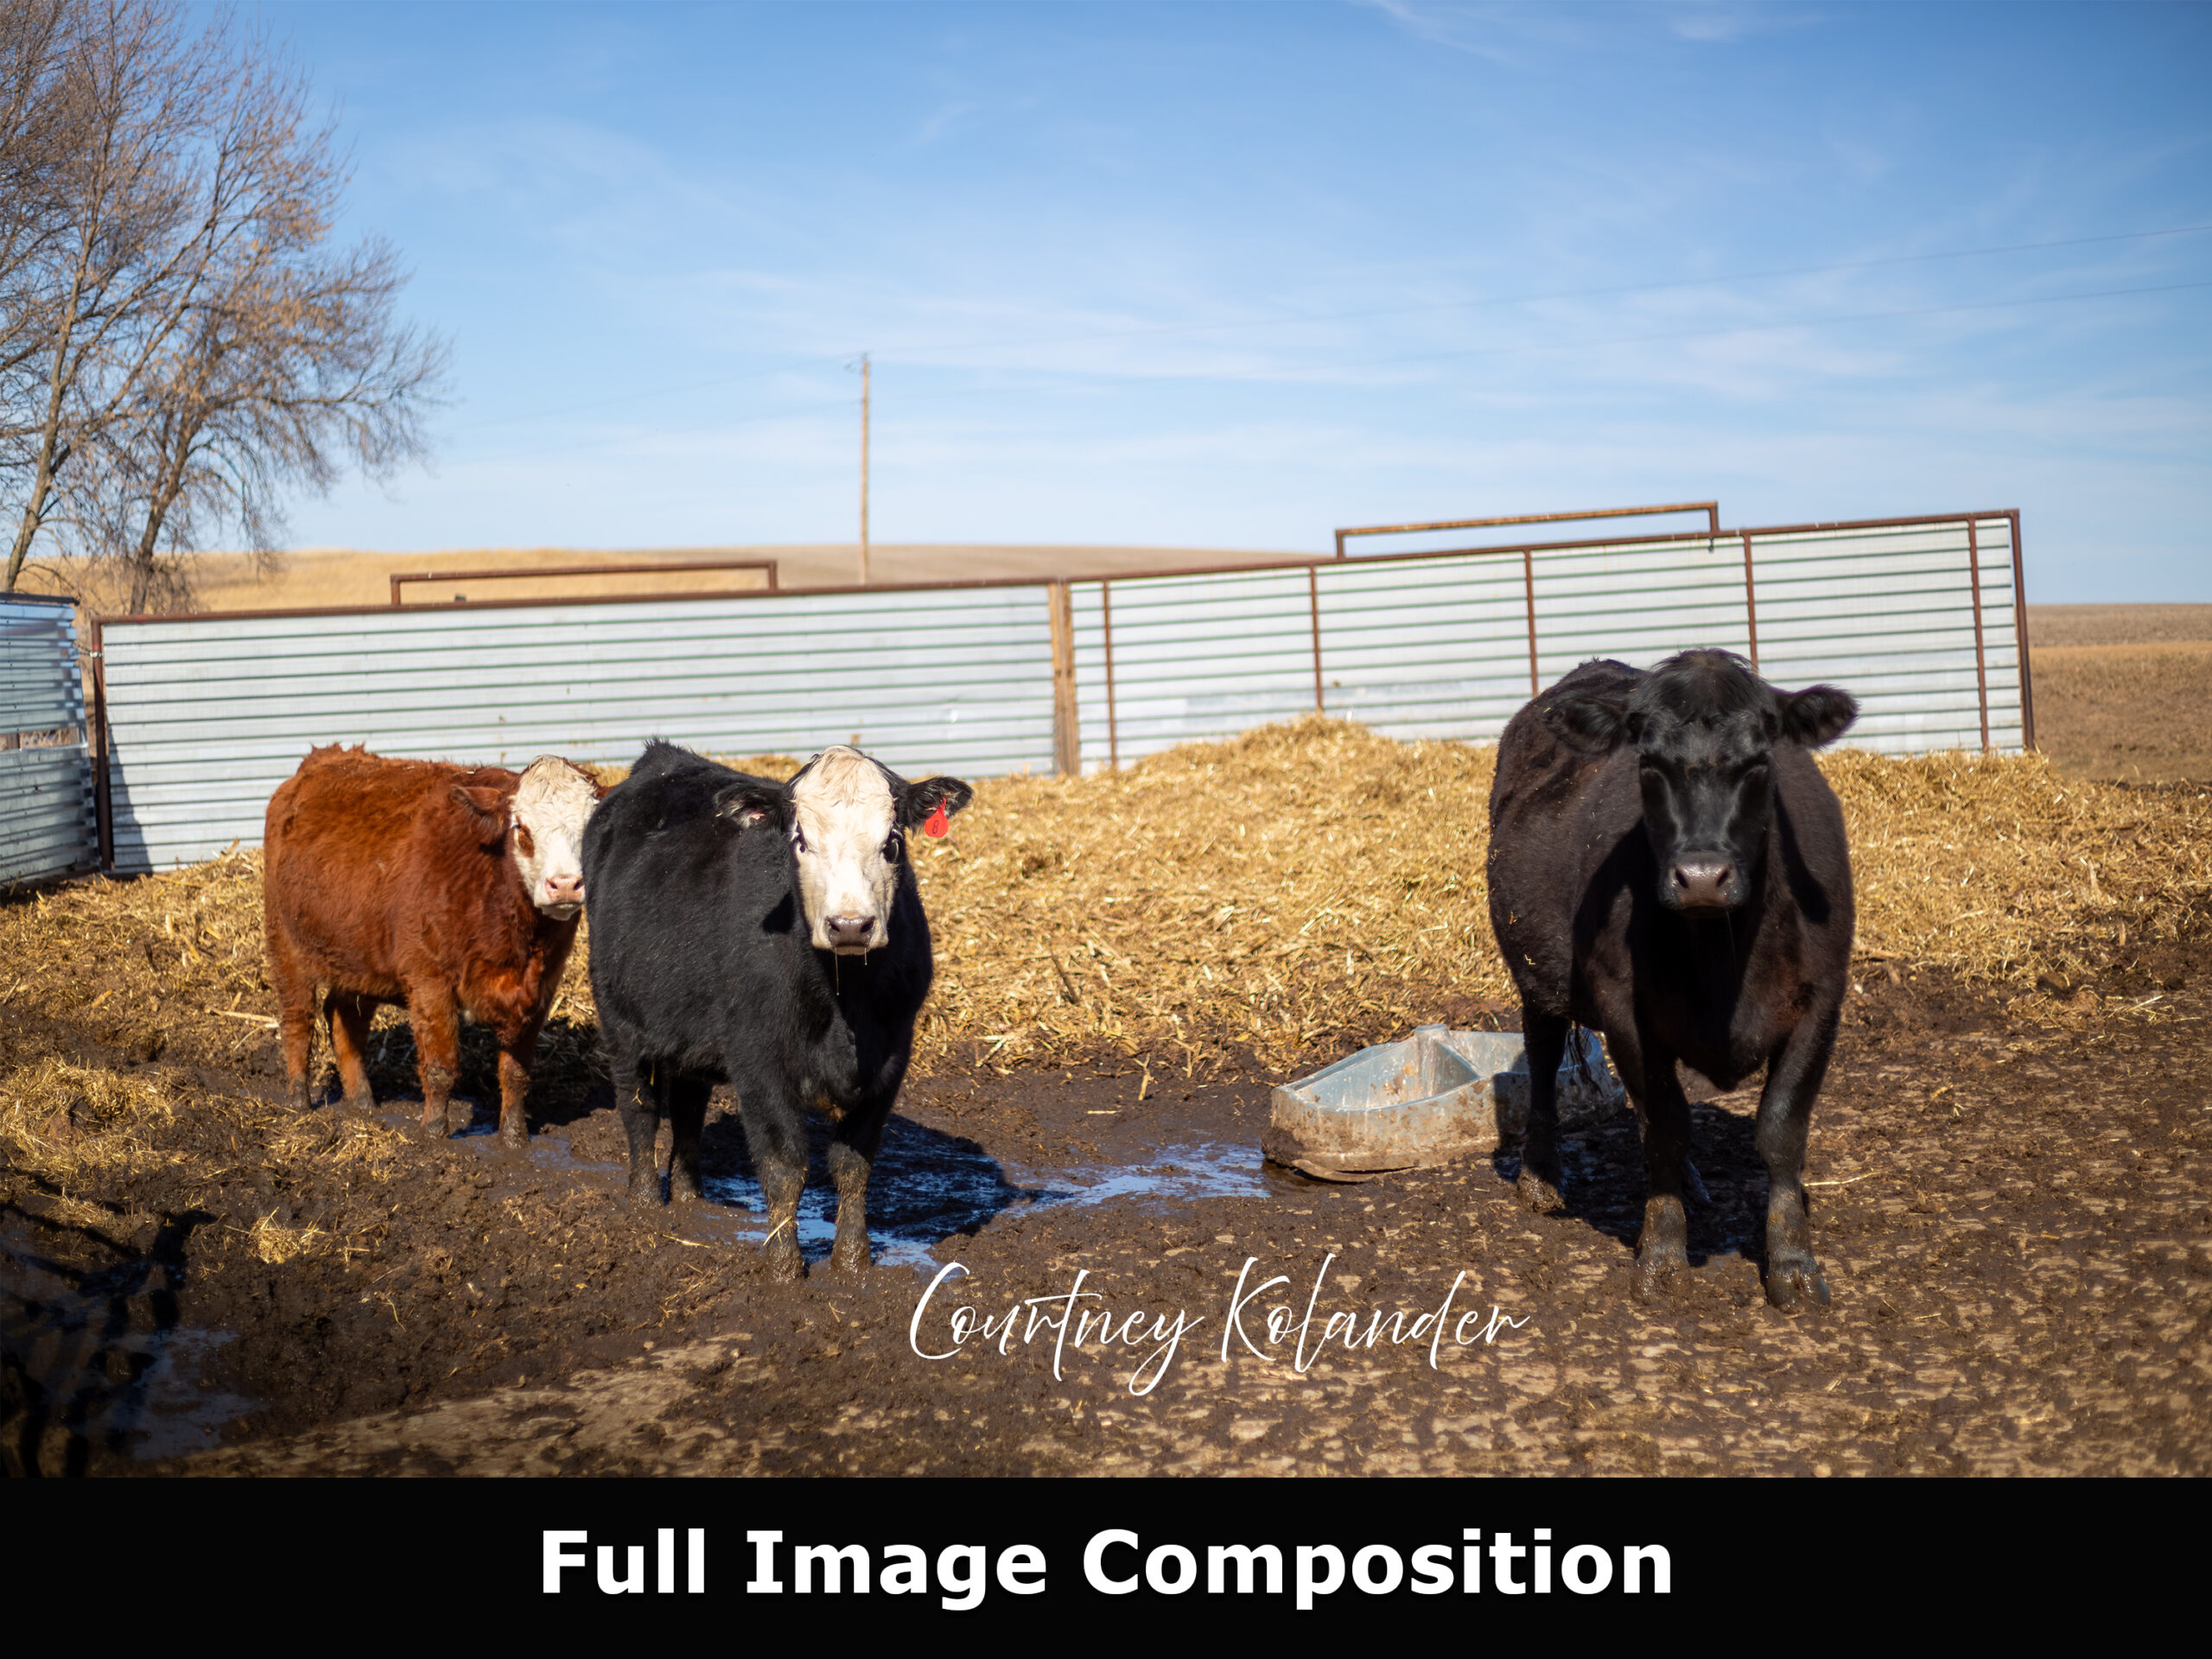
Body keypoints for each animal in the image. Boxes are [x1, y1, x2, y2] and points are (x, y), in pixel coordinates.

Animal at [263, 745, 604, 1144]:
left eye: (590, 828)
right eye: (521, 827)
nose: (564, 885)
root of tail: (319, 761)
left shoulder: (542, 988)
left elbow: (516, 1073)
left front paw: (514, 1139)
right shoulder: (430, 981)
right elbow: (441, 1066)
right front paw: (433, 1135)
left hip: (358, 958)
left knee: (345, 1017)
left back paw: (362, 1101)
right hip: (286, 945)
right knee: (298, 1020)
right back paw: (298, 1101)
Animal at [580, 741, 972, 1280]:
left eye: (891, 842)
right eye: (800, 841)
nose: (850, 925)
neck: (843, 1000)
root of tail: (662, 759)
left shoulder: (891, 1059)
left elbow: (854, 1165)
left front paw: (852, 1263)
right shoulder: (759, 1060)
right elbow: (784, 1167)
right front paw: (784, 1270)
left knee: (687, 1106)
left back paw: (689, 1197)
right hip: (620, 1021)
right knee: (639, 1110)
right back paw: (645, 1204)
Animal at [1486, 650, 1858, 1309]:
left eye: (1760, 760)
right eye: (1648, 764)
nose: (1702, 877)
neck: (1722, 957)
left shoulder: (1821, 1001)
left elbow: (1781, 1130)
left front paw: (1792, 1262)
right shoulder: (1625, 1013)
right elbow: (1663, 1125)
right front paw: (1661, 1253)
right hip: (1537, 976)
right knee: (1545, 1056)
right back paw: (1541, 1175)